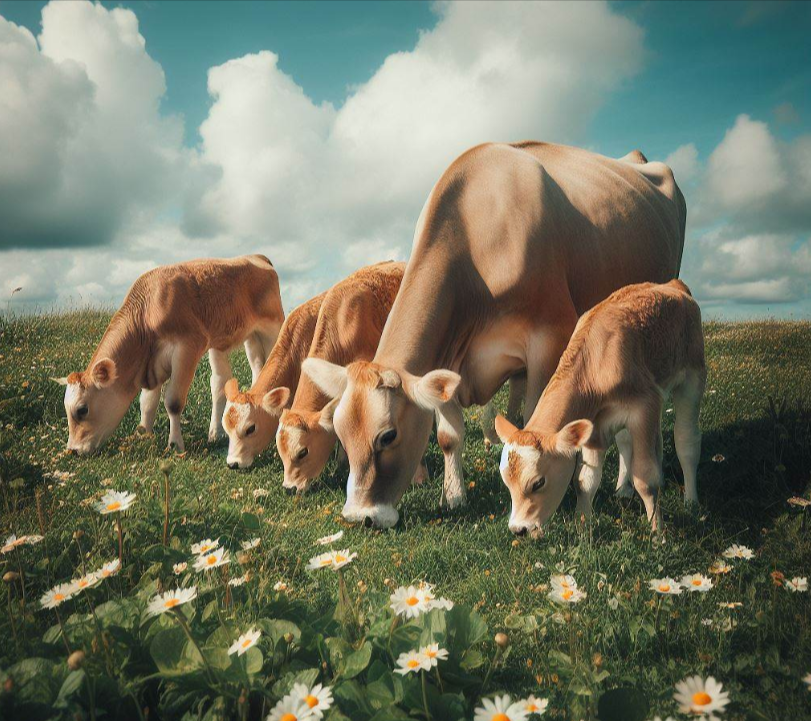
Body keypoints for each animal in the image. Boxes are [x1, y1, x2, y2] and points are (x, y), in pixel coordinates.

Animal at [53, 256, 282, 452]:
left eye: (82, 410)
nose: (72, 450)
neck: (147, 312)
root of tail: (257, 256)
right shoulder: (152, 364)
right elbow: (147, 402)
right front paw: (143, 434)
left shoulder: (187, 348)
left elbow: (173, 401)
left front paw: (175, 444)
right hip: (241, 340)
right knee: (225, 381)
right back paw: (216, 434)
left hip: (272, 330)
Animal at [302, 141, 684, 524]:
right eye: (340, 432)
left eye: (388, 436)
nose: (359, 517)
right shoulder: (447, 356)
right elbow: (448, 436)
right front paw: (454, 496)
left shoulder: (549, 337)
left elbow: (535, 419)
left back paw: (624, 487)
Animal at [492, 278, 708, 532]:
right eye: (506, 481)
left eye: (538, 483)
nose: (519, 529)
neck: (595, 364)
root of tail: (674, 284)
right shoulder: (595, 425)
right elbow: (585, 481)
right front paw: (582, 528)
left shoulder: (644, 407)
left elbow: (646, 478)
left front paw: (657, 532)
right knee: (628, 442)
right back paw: (624, 489)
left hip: (692, 378)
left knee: (686, 440)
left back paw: (691, 502)